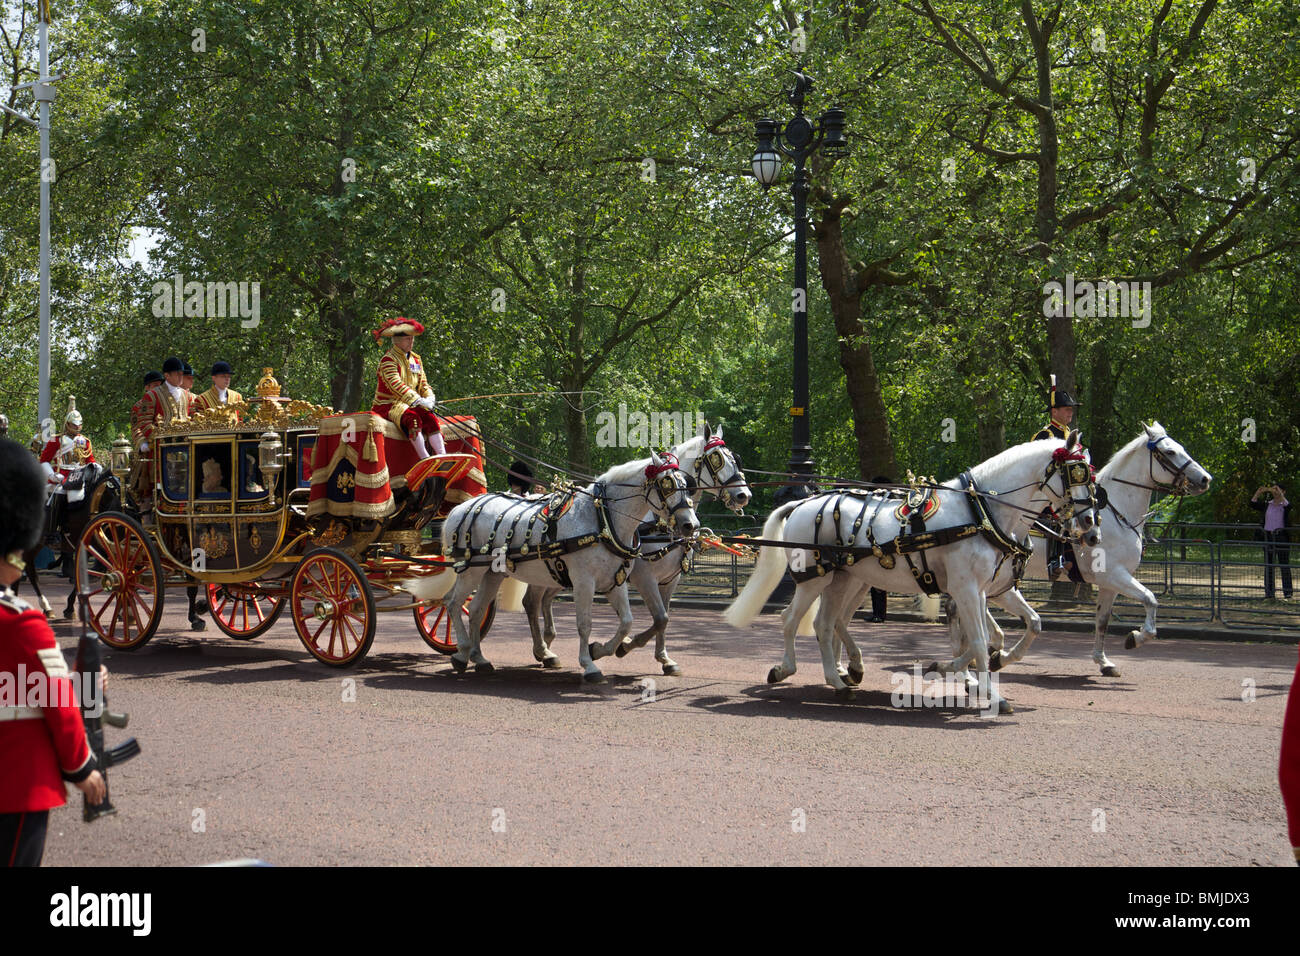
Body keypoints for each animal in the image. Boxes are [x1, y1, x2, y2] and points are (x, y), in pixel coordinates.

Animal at [439, 455, 702, 686]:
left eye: (687, 486)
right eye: (667, 485)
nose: (691, 525)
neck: (603, 520)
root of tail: (461, 507)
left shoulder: (615, 582)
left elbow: (627, 621)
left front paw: (602, 649)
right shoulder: (586, 582)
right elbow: (584, 623)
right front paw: (589, 664)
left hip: (492, 573)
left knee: (476, 609)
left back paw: (479, 658)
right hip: (471, 570)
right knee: (452, 602)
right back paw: (462, 653)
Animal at [520, 421, 754, 676]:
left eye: (735, 458)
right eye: (716, 458)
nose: (744, 495)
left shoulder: (670, 579)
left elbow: (664, 618)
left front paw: (664, 658)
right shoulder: (644, 577)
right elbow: (660, 618)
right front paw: (618, 648)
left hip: (559, 574)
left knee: (542, 600)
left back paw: (546, 645)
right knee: (532, 602)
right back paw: (544, 649)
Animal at [728, 429, 1102, 712]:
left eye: (1090, 474)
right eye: (1076, 473)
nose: (1090, 524)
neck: (982, 512)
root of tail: (804, 501)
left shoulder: (985, 589)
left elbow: (1007, 632)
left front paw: (965, 671)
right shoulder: (967, 588)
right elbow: (980, 640)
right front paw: (991, 692)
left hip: (845, 579)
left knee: (826, 623)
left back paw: (840, 677)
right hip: (814, 578)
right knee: (792, 619)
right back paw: (787, 669)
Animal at [946, 421, 1206, 676]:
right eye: (1170, 452)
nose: (1205, 479)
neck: (1117, 512)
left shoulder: (1110, 582)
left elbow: (1102, 620)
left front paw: (1103, 661)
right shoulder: (1114, 575)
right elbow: (1151, 599)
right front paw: (1135, 638)